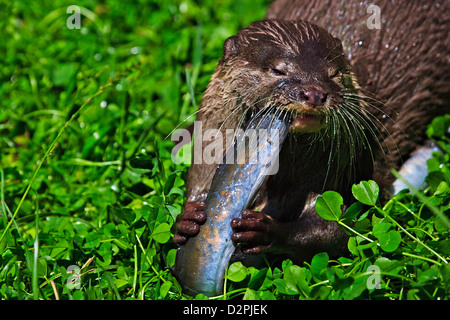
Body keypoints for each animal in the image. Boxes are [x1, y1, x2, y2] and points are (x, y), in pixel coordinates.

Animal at [173, 0, 450, 264]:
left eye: (334, 73)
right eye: (277, 70)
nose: (314, 93)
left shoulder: (345, 175)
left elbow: (335, 229)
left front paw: (266, 231)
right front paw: (185, 221)